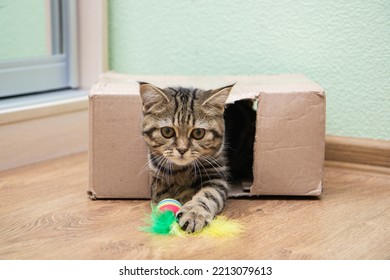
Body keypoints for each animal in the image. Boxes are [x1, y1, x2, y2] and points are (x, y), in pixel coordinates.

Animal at [139, 82, 233, 233]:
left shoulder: (217, 176)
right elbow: (162, 192)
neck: (182, 170)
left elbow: (208, 195)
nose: (182, 149)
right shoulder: (157, 179)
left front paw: (194, 213)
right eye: (167, 131)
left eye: (198, 133)